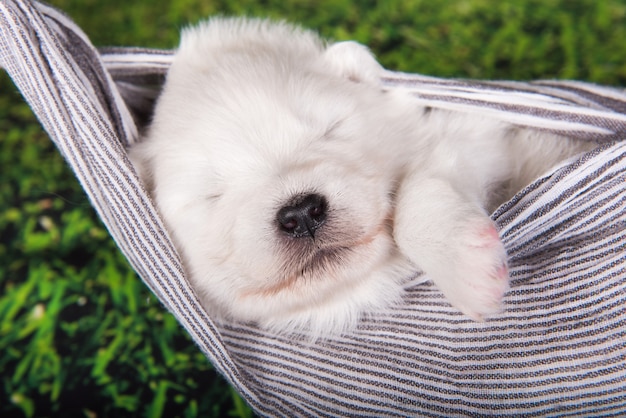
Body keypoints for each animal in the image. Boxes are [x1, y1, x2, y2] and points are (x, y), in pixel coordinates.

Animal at [129, 17, 592, 336]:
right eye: (211, 195)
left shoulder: (484, 135)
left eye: (331, 128)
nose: (302, 212)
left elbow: (425, 180)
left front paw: (466, 270)